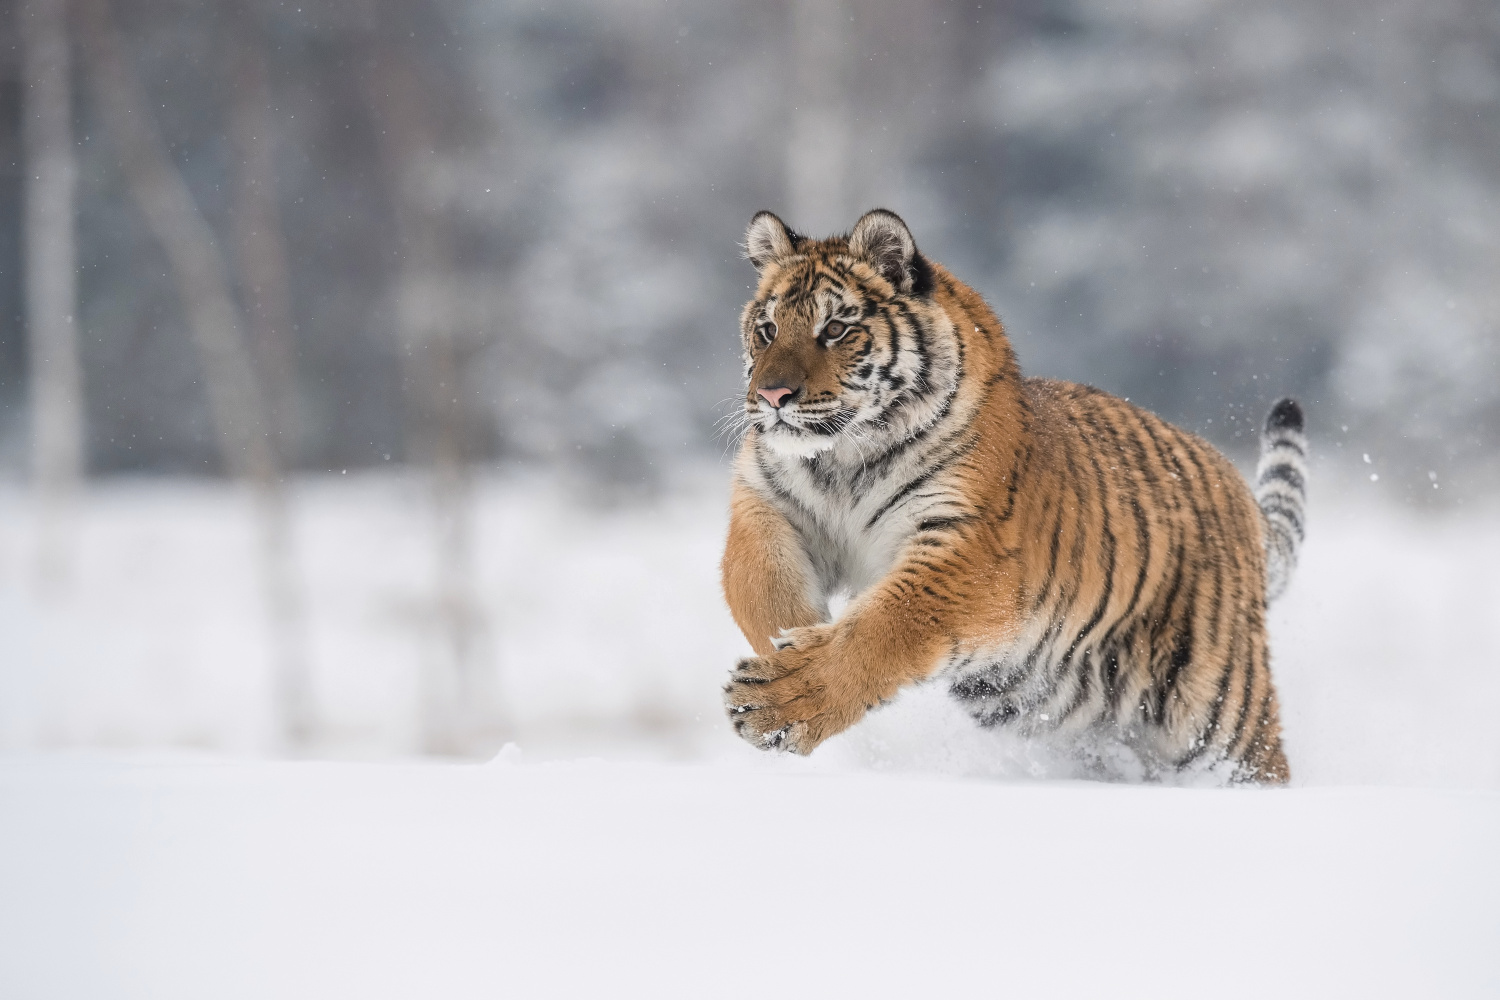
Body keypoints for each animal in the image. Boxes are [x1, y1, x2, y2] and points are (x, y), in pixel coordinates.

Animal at [720, 209, 1308, 779]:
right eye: (768, 329)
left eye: (836, 329)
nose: (772, 395)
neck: (843, 459)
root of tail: (1236, 488)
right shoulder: (765, 506)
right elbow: (764, 591)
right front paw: (790, 645)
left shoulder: (969, 549)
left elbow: (881, 630)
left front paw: (778, 701)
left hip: (1218, 718)